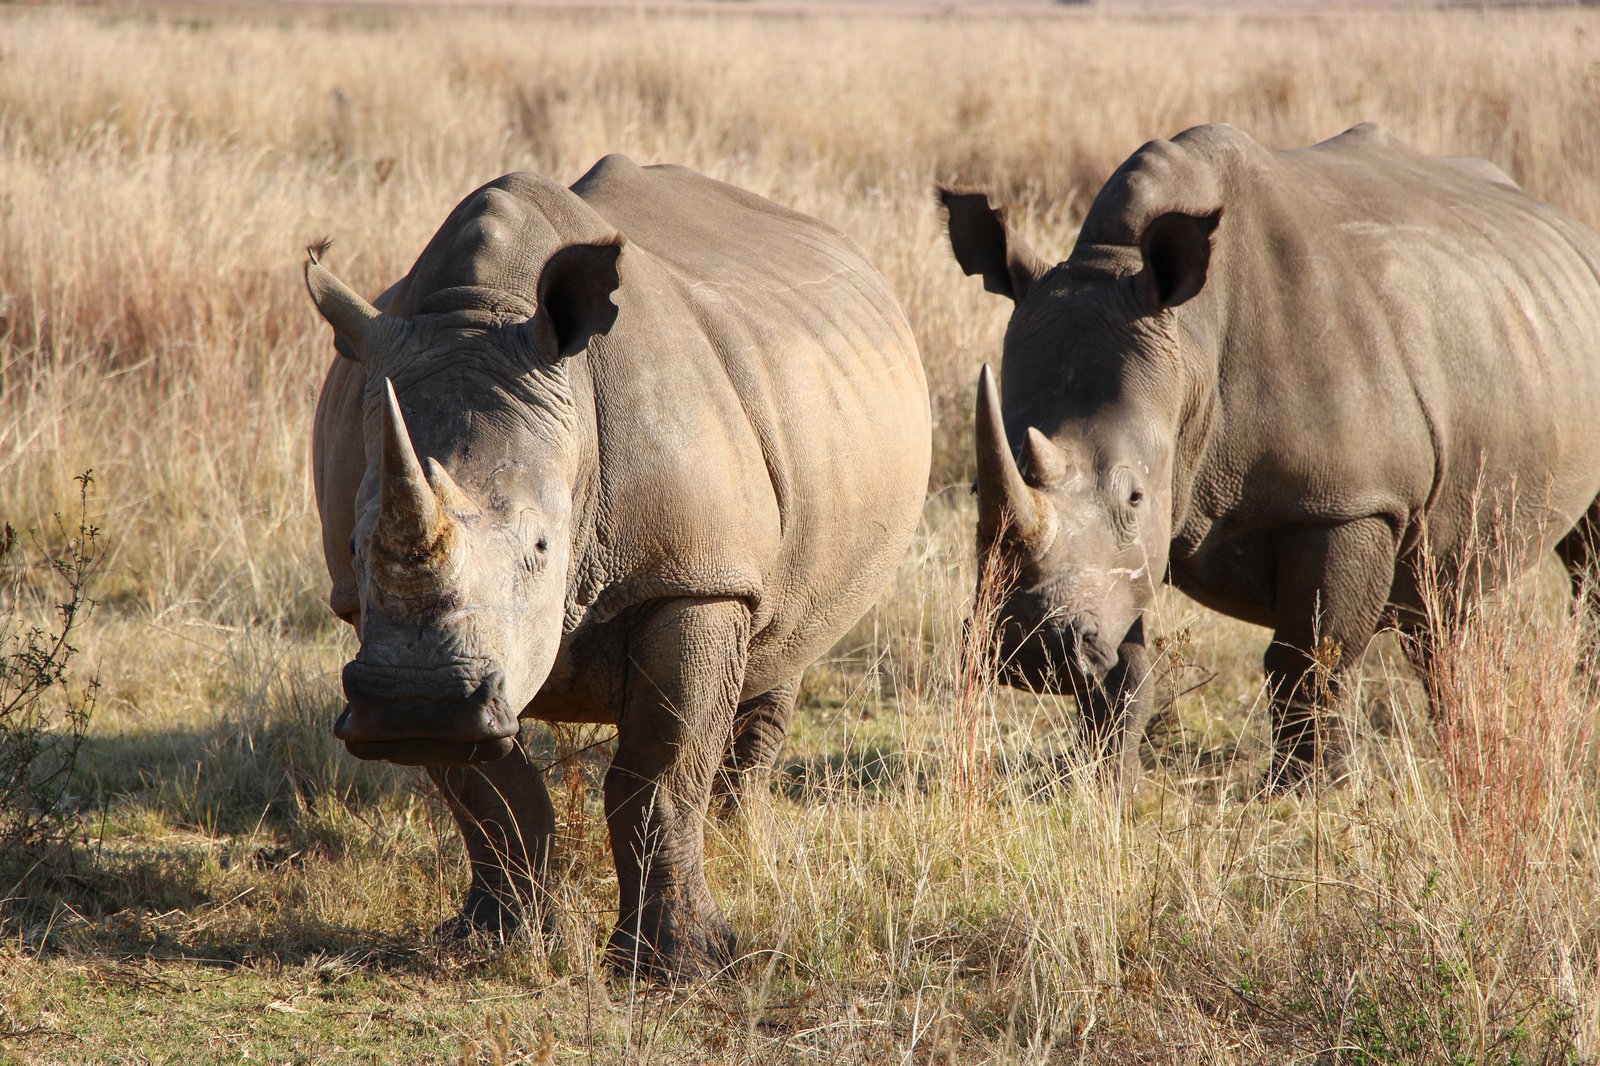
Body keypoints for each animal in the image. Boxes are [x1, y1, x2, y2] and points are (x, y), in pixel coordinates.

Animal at [305, 153, 934, 973]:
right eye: (356, 547)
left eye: (542, 548)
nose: (418, 701)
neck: (481, 312)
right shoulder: (383, 626)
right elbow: (486, 791)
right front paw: (491, 940)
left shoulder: (695, 578)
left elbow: (657, 774)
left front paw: (682, 965)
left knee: (785, 645)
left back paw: (746, 856)